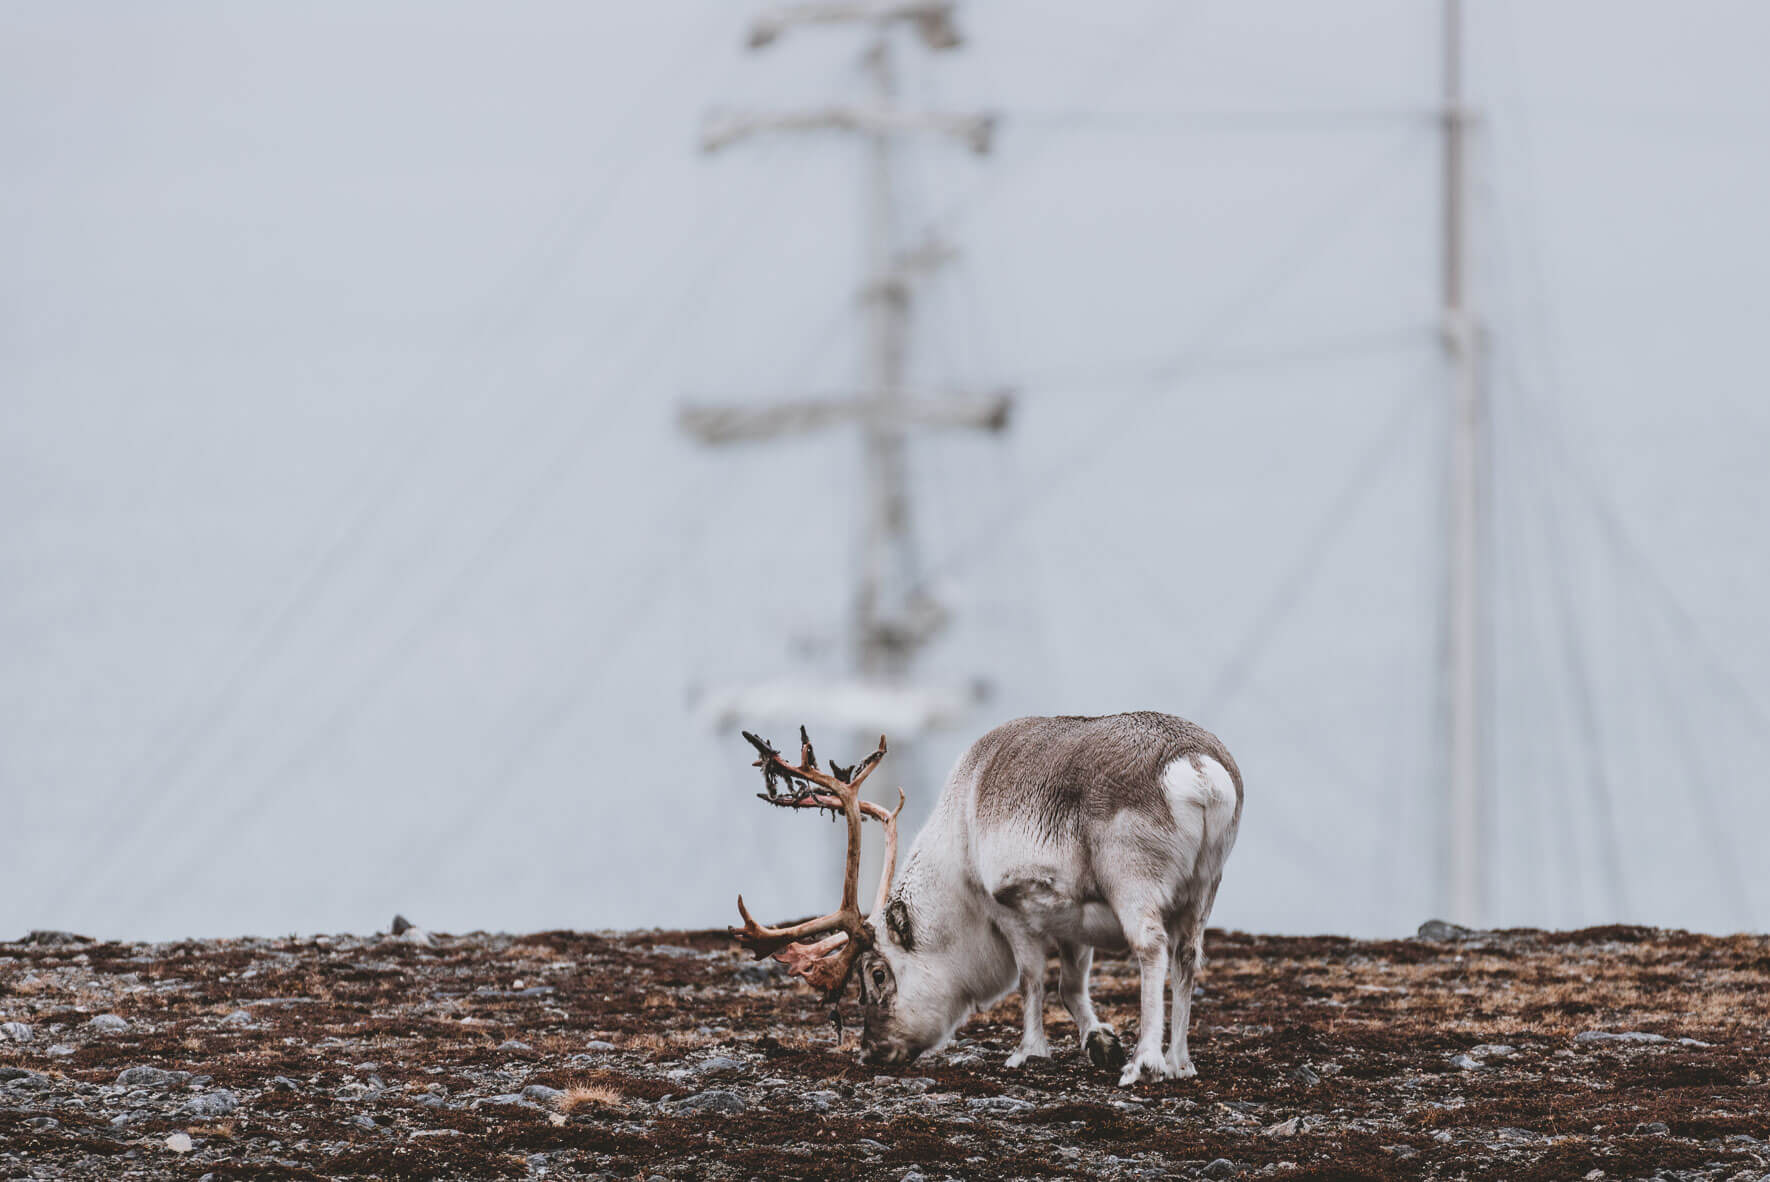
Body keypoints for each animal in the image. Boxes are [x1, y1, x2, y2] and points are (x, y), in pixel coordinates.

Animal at [731, 712, 1242, 1087]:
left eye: (877, 973)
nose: (869, 1052)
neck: (957, 851)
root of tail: (1198, 770)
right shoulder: (1075, 919)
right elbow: (1070, 986)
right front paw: (1099, 1041)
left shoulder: (1009, 906)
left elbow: (1031, 980)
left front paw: (1027, 1052)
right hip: (1206, 885)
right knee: (1187, 955)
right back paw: (1180, 1061)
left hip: (1134, 882)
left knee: (1152, 948)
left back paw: (1145, 1064)